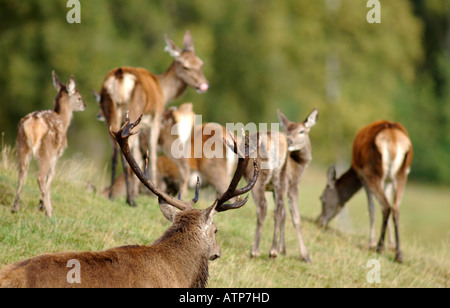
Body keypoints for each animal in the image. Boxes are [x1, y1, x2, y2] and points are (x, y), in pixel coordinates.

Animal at [12, 71, 85, 218]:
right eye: (79, 98)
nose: (84, 105)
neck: (63, 121)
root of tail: (31, 124)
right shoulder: (57, 153)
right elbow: (50, 177)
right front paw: (43, 205)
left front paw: (41, 204)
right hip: (46, 149)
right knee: (40, 177)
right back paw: (50, 213)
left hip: (22, 145)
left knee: (22, 173)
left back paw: (15, 207)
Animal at [97, 30, 209, 206]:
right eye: (186, 66)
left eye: (200, 63)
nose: (204, 85)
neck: (164, 91)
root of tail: (119, 77)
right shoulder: (155, 117)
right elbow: (153, 153)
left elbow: (137, 153)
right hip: (134, 109)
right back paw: (131, 199)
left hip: (110, 110)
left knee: (114, 150)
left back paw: (112, 195)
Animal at [244, 107, 318, 262]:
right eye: (286, 130)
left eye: (302, 131)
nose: (289, 140)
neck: (299, 167)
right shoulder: (292, 184)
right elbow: (294, 217)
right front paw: (304, 255)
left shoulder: (279, 186)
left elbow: (284, 213)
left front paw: (283, 249)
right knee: (268, 208)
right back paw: (263, 251)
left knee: (270, 208)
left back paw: (267, 251)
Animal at [318, 120, 414, 262]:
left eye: (322, 199)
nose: (319, 221)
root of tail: (393, 139)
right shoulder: (388, 180)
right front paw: (391, 245)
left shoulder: (363, 176)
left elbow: (371, 208)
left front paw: (372, 243)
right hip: (402, 173)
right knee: (395, 208)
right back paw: (398, 255)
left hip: (373, 171)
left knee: (385, 206)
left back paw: (379, 247)